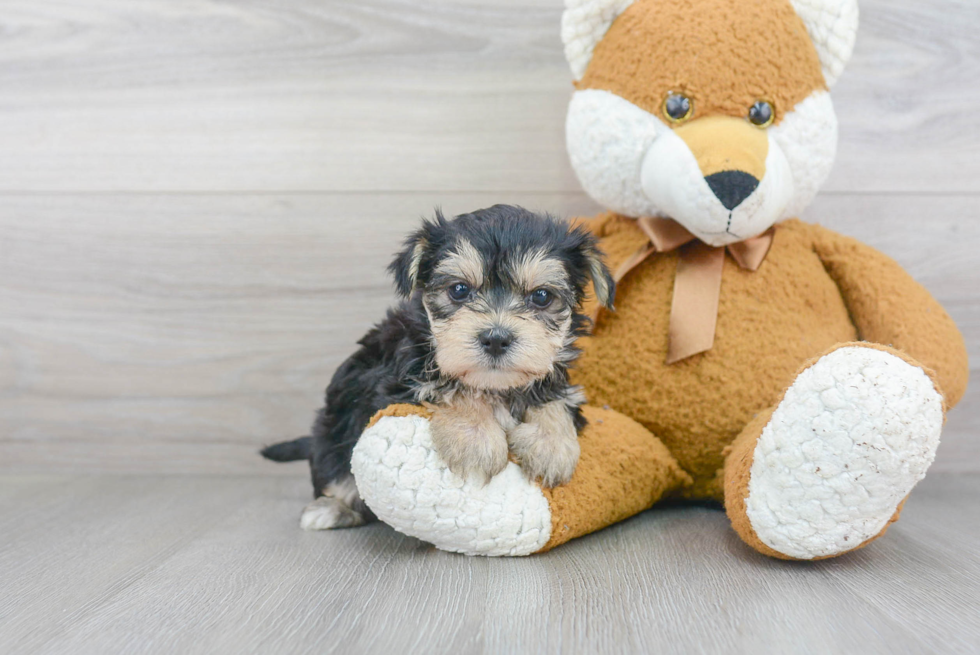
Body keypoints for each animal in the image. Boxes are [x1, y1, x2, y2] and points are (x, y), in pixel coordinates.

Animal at [260, 204, 612, 528]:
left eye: (541, 296)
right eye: (458, 290)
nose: (496, 339)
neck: (495, 386)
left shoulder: (557, 378)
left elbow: (555, 398)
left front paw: (552, 445)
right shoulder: (389, 385)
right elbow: (452, 386)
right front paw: (475, 438)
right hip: (334, 431)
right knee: (337, 473)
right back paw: (330, 509)